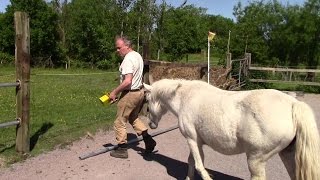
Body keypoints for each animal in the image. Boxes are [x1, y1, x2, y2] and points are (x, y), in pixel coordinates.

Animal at [144, 79, 320, 180]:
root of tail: (293, 104)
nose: (151, 125)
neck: (186, 97)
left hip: (256, 159)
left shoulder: (191, 139)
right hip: (288, 155)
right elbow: (192, 162)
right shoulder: (197, 142)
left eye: (147, 101)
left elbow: (199, 165)